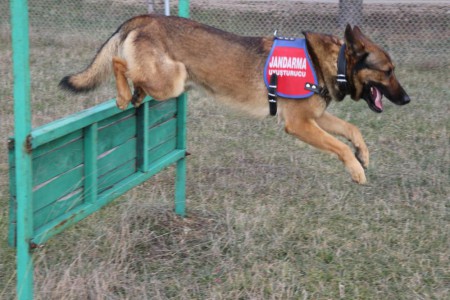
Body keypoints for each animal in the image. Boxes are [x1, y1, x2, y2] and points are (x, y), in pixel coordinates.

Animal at [60, 15, 412, 184]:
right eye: (388, 71)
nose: (408, 100)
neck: (326, 63)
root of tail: (145, 17)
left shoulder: (315, 118)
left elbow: (352, 131)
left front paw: (363, 155)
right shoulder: (299, 124)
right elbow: (340, 145)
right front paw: (356, 170)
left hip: (170, 80)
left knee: (131, 73)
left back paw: (134, 94)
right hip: (173, 80)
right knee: (119, 63)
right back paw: (123, 94)